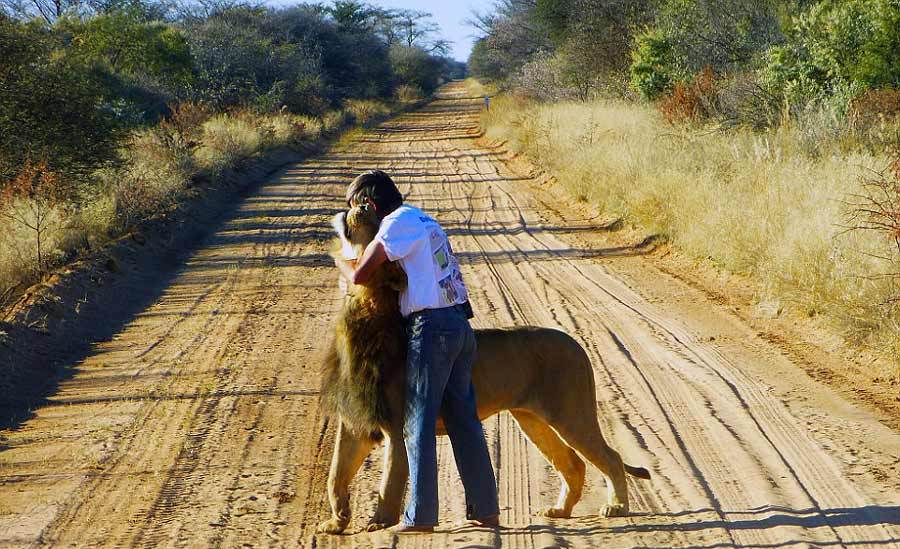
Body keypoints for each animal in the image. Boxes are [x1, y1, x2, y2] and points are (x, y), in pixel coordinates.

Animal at [316, 203, 648, 532]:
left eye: (376, 226)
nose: (359, 205)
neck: (365, 307)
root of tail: (577, 344)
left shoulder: (398, 425)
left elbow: (390, 480)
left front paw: (380, 523)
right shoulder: (354, 423)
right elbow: (335, 474)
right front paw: (336, 522)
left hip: (571, 414)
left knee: (611, 457)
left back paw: (616, 507)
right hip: (532, 419)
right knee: (573, 462)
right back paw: (560, 510)